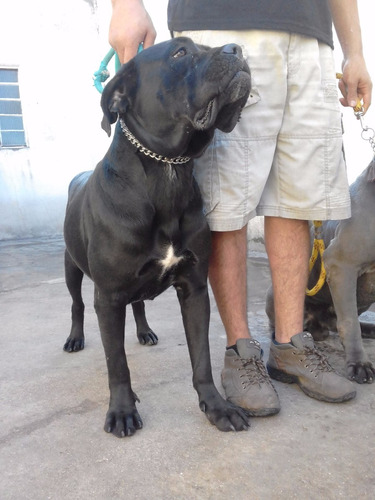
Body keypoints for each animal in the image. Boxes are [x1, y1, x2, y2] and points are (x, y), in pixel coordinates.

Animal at [63, 37, 253, 438]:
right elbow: (116, 363)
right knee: (77, 304)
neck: (168, 168)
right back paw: (75, 338)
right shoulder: (108, 296)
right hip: (72, 267)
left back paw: (144, 331)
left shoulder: (194, 287)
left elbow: (202, 358)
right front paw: (122, 410)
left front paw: (216, 407)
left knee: (138, 303)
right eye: (180, 53)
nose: (236, 49)